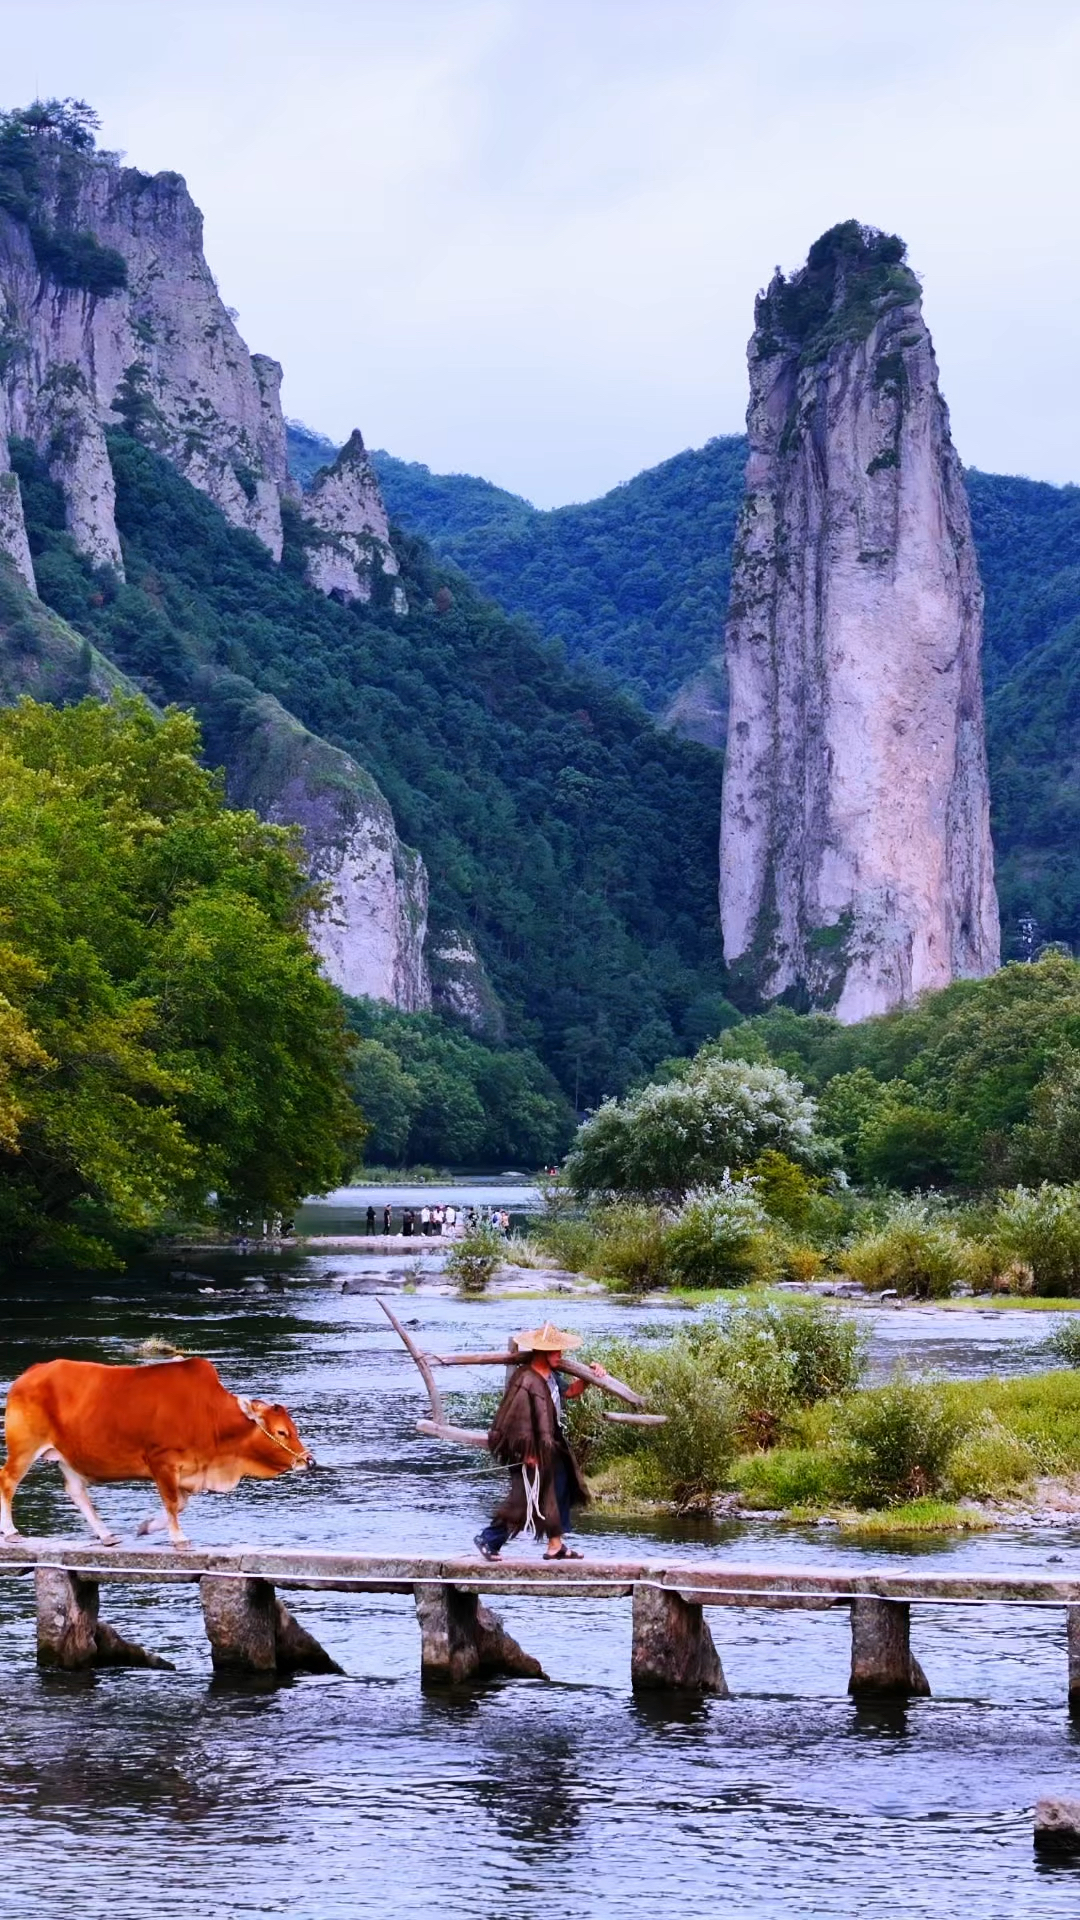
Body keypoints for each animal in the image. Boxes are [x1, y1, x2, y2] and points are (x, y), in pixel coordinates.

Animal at [0, 1359, 311, 1551]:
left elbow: (180, 1504)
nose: (309, 1460)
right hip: (24, 1447)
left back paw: (106, 1535)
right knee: (7, 1480)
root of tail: (33, 1371)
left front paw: (146, 1527)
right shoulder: (162, 1461)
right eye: (282, 1432)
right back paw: (12, 1532)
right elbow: (173, 1503)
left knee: (76, 1491)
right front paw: (179, 1538)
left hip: (68, 1456)